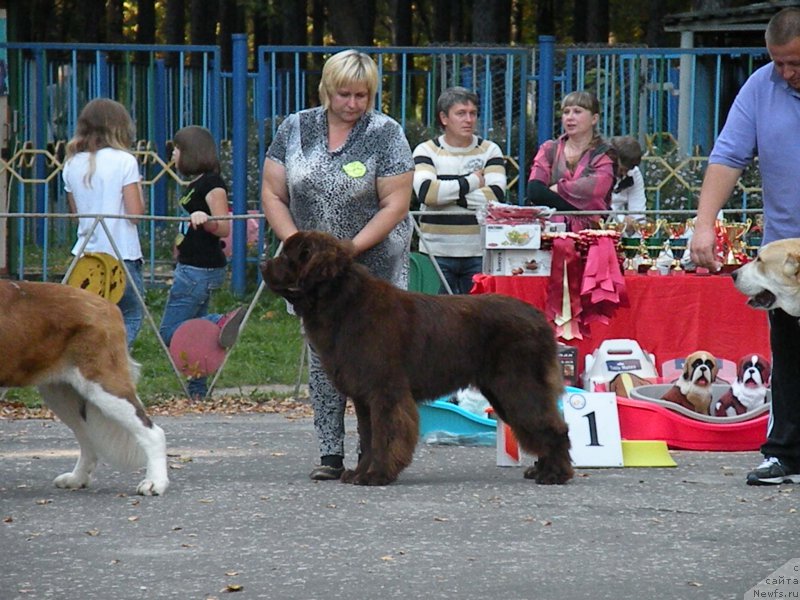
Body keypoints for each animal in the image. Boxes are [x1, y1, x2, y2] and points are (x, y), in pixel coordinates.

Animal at [0, 278, 169, 494]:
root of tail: (108, 305)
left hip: (102, 386)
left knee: (153, 432)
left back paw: (155, 482)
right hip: (63, 395)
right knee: (88, 440)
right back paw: (77, 478)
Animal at [264, 231, 576, 488]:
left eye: (289, 257)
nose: (264, 264)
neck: (344, 305)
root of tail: (539, 318)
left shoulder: (385, 391)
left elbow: (385, 435)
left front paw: (376, 475)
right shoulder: (364, 397)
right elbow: (368, 436)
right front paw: (359, 473)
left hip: (517, 384)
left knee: (552, 425)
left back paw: (555, 474)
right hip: (503, 390)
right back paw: (542, 469)